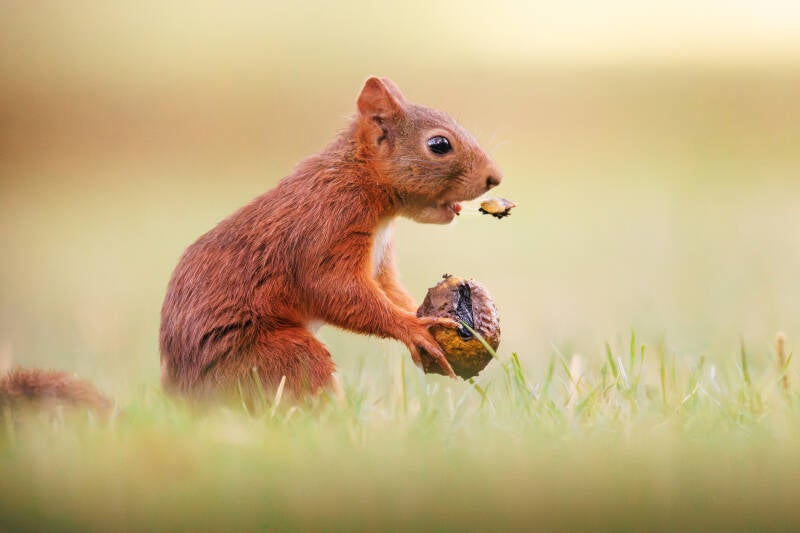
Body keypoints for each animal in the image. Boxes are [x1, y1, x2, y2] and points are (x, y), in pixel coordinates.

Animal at [0, 77, 502, 413]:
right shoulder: (325, 228)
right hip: (278, 356)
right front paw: (413, 328)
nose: (494, 178)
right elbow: (335, 290)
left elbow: (387, 288)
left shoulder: (379, 259)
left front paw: (427, 314)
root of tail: (185, 404)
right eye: (439, 145)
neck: (362, 183)